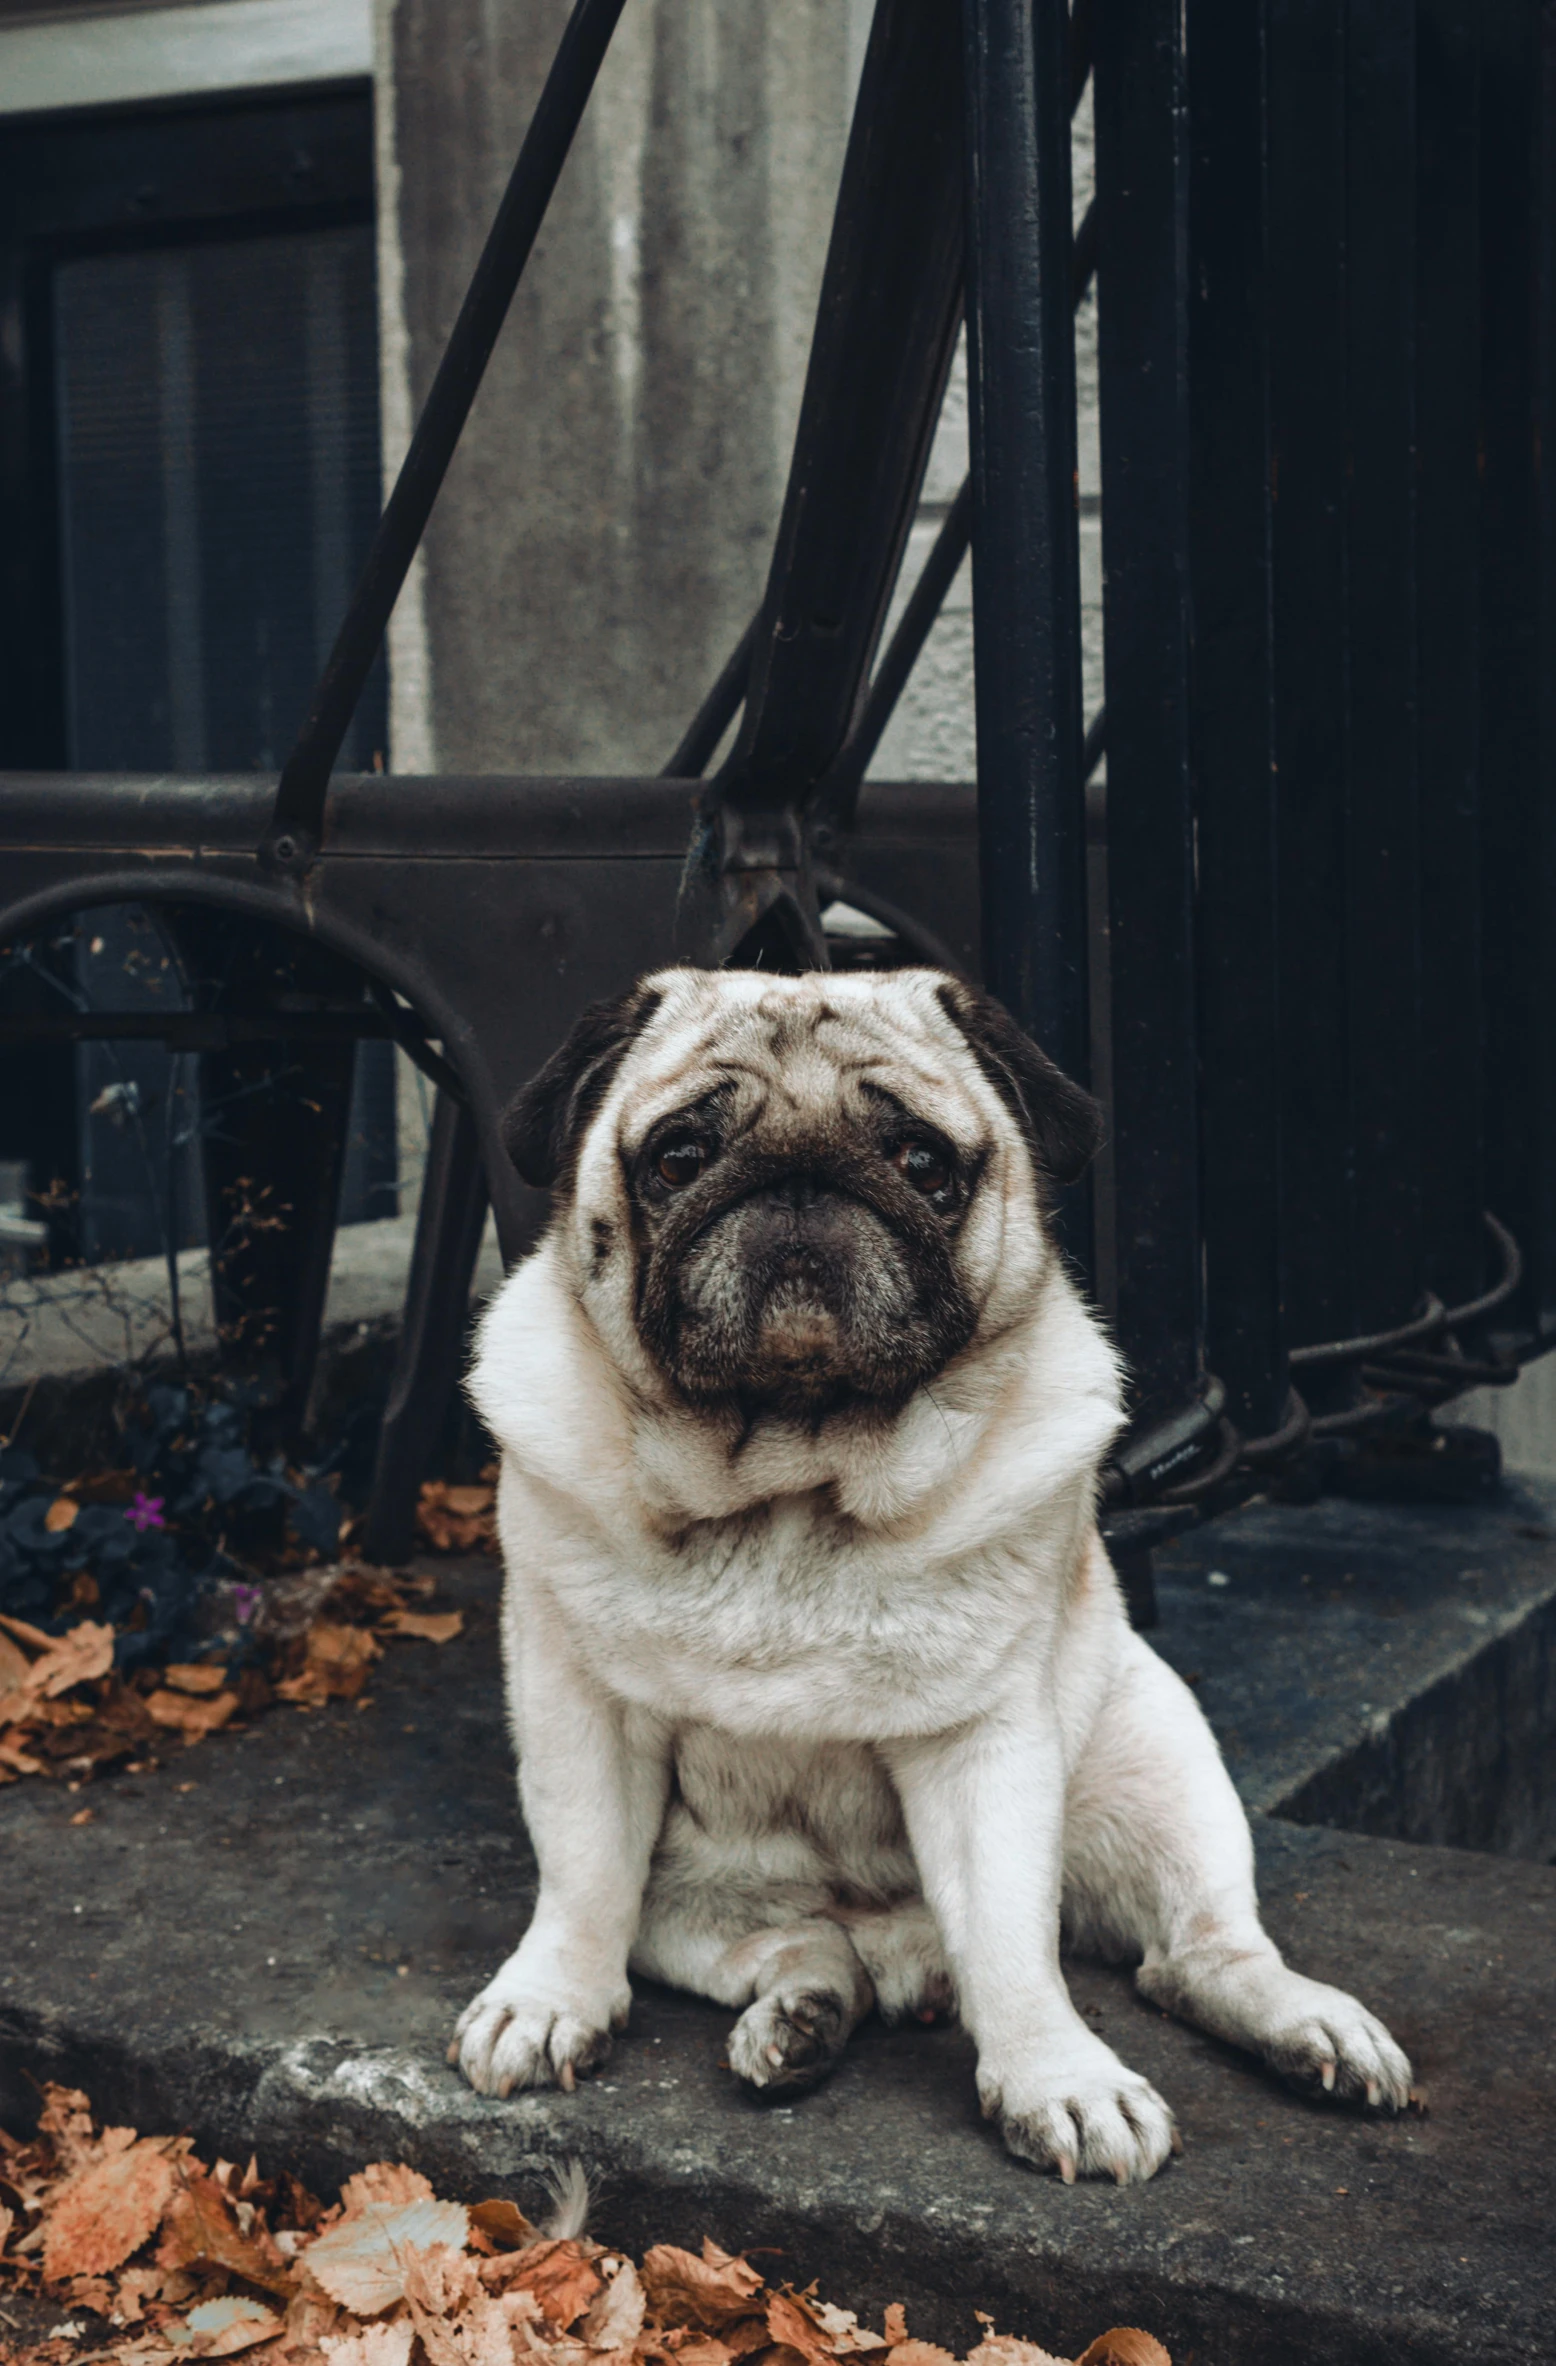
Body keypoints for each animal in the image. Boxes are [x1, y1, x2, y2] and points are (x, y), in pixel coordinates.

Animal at [454, 960, 1409, 2176]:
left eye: (919, 1161)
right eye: (679, 1156)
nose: (801, 1176)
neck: (794, 1484)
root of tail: (898, 1948)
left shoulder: (980, 1742)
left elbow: (1008, 1939)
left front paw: (1057, 2079)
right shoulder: (579, 1709)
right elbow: (579, 1875)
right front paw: (550, 1999)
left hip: (1159, 1758)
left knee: (1193, 1954)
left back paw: (1305, 2026)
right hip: (701, 1911)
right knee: (805, 1948)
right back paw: (801, 2017)